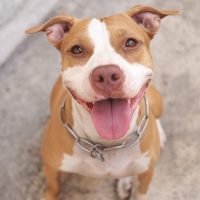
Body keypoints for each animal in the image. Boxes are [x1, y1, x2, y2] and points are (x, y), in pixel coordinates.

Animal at [26, 4, 178, 200]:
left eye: (130, 42)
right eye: (77, 49)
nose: (106, 74)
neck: (105, 145)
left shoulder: (147, 173)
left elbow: (141, 192)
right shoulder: (51, 168)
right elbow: (52, 189)